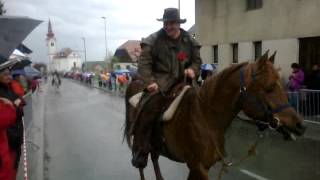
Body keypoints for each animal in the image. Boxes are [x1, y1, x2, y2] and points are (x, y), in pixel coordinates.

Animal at [122, 51, 304, 180]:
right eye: (269, 88)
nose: (300, 125)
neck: (206, 118)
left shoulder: (203, 167)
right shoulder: (197, 167)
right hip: (141, 147)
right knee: (141, 163)